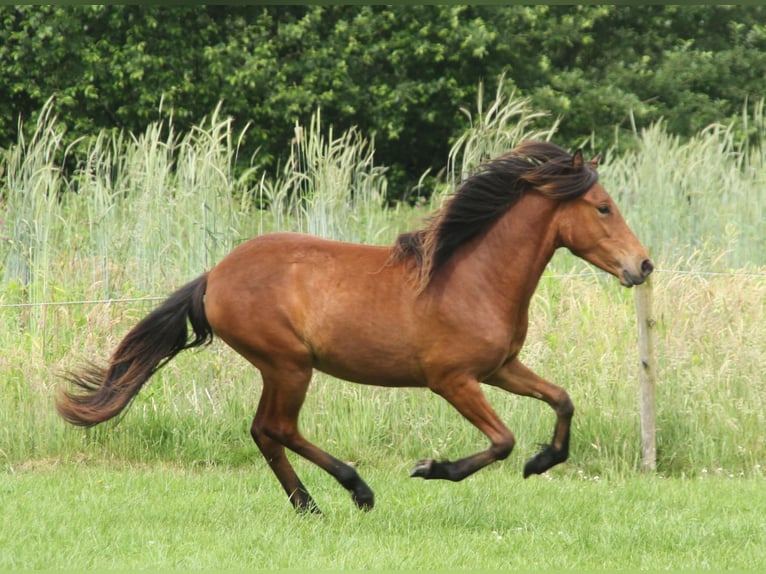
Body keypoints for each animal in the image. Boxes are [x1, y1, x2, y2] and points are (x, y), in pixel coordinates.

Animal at [57, 141, 653, 514]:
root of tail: (213, 276)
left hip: (280, 369)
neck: (472, 278)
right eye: (603, 207)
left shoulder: (502, 368)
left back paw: (310, 506)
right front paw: (431, 468)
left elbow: (562, 400)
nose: (642, 266)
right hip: (290, 365)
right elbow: (502, 440)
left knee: (263, 431)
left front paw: (542, 461)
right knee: (278, 428)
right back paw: (357, 490)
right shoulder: (452, 380)